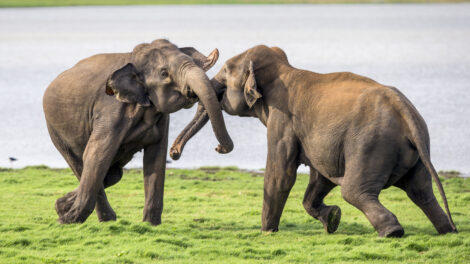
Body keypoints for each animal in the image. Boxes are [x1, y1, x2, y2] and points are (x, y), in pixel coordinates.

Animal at [43, 38, 234, 225]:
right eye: (164, 73)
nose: (219, 148)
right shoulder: (110, 111)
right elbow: (96, 154)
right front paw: (66, 221)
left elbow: (155, 158)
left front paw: (150, 224)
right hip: (56, 132)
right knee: (83, 164)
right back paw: (92, 217)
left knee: (112, 175)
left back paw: (64, 206)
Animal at [171, 44, 458, 237]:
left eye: (225, 72)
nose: (174, 153)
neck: (283, 69)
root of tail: (406, 112)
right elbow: (321, 176)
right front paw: (333, 219)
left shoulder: (282, 120)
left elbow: (281, 174)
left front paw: (267, 231)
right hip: (412, 152)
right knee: (421, 192)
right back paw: (447, 230)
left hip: (371, 145)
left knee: (354, 190)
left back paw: (393, 232)